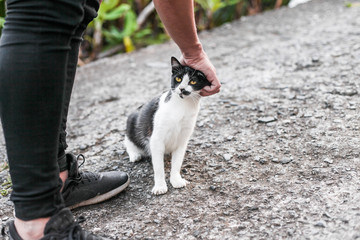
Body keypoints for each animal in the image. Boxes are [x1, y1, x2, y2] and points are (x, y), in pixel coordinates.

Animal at [124, 56, 211, 195]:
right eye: (178, 79)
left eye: (193, 81)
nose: (182, 89)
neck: (182, 106)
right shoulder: (156, 139)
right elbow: (159, 167)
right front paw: (160, 186)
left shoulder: (182, 140)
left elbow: (177, 162)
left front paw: (176, 179)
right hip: (132, 120)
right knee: (128, 140)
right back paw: (135, 154)